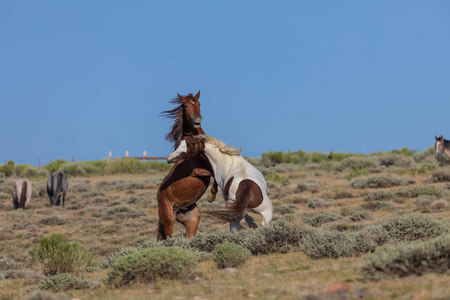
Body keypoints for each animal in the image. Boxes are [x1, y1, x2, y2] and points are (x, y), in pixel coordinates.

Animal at [156, 90, 218, 240]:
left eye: (198, 103)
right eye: (185, 105)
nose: (197, 120)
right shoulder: (196, 172)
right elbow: (214, 173)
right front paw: (211, 196)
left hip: (192, 220)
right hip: (168, 220)